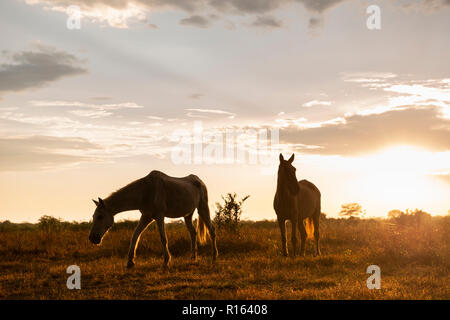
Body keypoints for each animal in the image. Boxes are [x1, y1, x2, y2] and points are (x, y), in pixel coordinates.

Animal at [87, 170, 218, 268]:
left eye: (100, 216)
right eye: (94, 216)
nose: (92, 239)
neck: (145, 191)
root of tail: (199, 181)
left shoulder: (159, 216)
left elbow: (163, 238)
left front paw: (166, 261)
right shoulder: (146, 217)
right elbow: (135, 236)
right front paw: (130, 262)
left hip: (203, 208)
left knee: (212, 230)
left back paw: (214, 257)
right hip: (188, 215)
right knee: (193, 233)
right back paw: (193, 258)